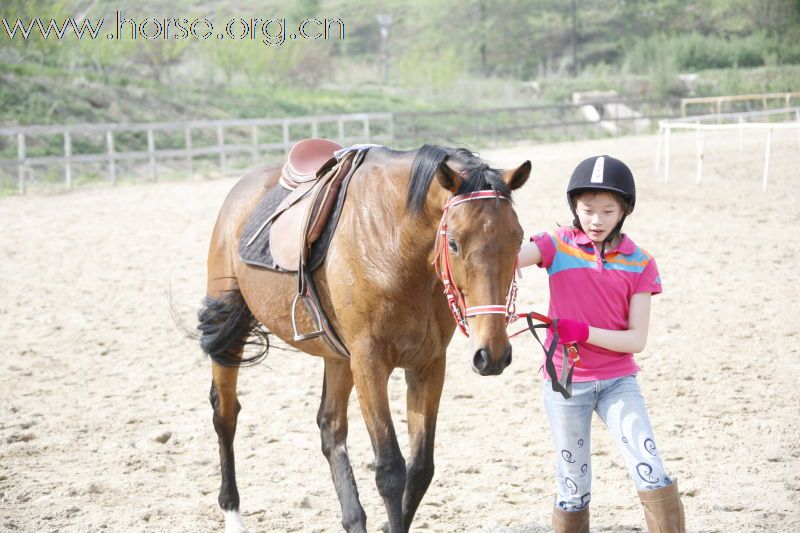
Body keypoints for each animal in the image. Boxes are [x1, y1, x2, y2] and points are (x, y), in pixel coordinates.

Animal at [198, 143, 531, 533]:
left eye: (518, 239)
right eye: (453, 243)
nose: (492, 354)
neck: (397, 245)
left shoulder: (429, 364)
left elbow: (421, 468)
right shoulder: (369, 363)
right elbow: (390, 470)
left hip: (338, 356)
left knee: (330, 427)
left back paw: (353, 519)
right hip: (228, 326)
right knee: (225, 413)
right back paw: (233, 513)